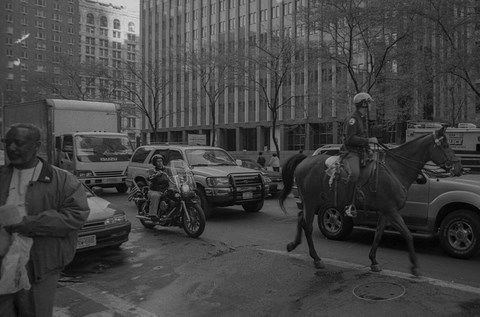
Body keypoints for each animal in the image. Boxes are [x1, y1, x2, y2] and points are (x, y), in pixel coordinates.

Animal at [280, 124, 464, 276]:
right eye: (445, 145)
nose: (459, 168)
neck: (395, 169)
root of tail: (304, 160)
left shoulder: (385, 211)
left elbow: (378, 234)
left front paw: (374, 261)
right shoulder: (392, 210)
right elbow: (407, 234)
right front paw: (414, 266)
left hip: (314, 202)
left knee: (300, 219)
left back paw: (293, 245)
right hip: (311, 202)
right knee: (308, 226)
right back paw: (316, 259)